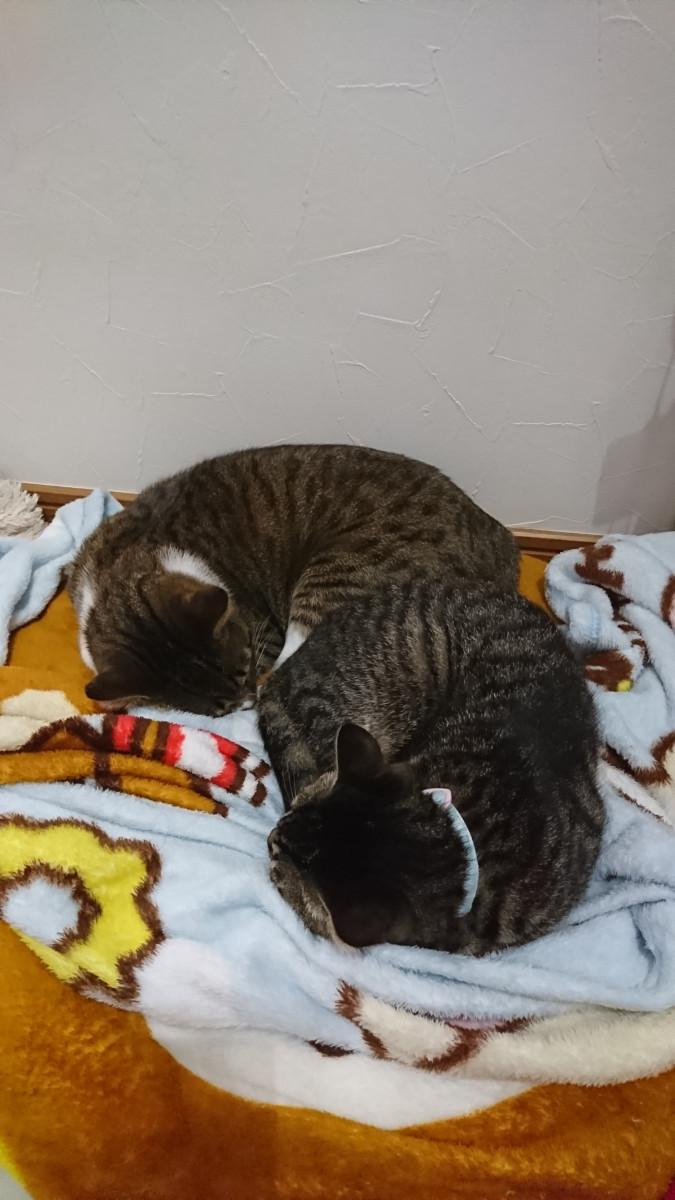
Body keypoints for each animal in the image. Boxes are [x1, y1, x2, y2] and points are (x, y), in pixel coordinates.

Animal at [68, 445, 518, 716]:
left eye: (245, 668)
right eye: (219, 711)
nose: (247, 702)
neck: (124, 560)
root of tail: (506, 554)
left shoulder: (264, 628)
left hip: (335, 574)